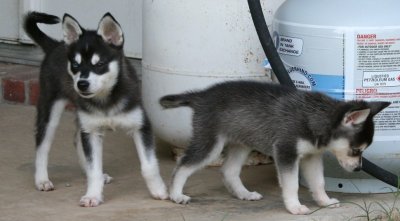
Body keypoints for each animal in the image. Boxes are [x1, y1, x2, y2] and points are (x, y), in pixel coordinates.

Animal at [160, 80, 390, 214]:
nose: (359, 169)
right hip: (211, 145)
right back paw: (176, 194)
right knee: (182, 166)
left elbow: (318, 183)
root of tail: (202, 95)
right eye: (356, 150)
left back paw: (244, 194)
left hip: (241, 143)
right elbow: (291, 184)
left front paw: (324, 202)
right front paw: (295, 207)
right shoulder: (286, 152)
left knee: (228, 171)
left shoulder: (311, 157)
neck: (316, 117)